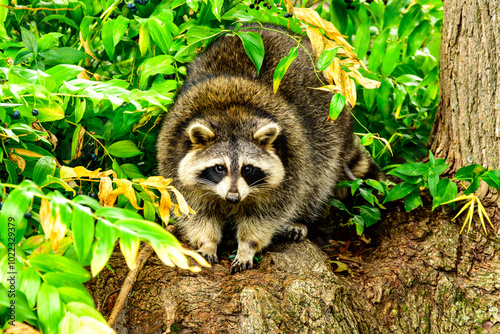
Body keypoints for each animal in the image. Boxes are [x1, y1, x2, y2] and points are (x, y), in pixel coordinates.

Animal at [156, 24, 382, 272]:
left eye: (247, 169)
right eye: (219, 168)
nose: (233, 197)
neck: (231, 114)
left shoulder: (292, 164)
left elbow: (266, 216)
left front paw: (247, 246)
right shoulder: (172, 154)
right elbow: (194, 210)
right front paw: (207, 242)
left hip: (330, 127)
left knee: (319, 177)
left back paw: (301, 219)